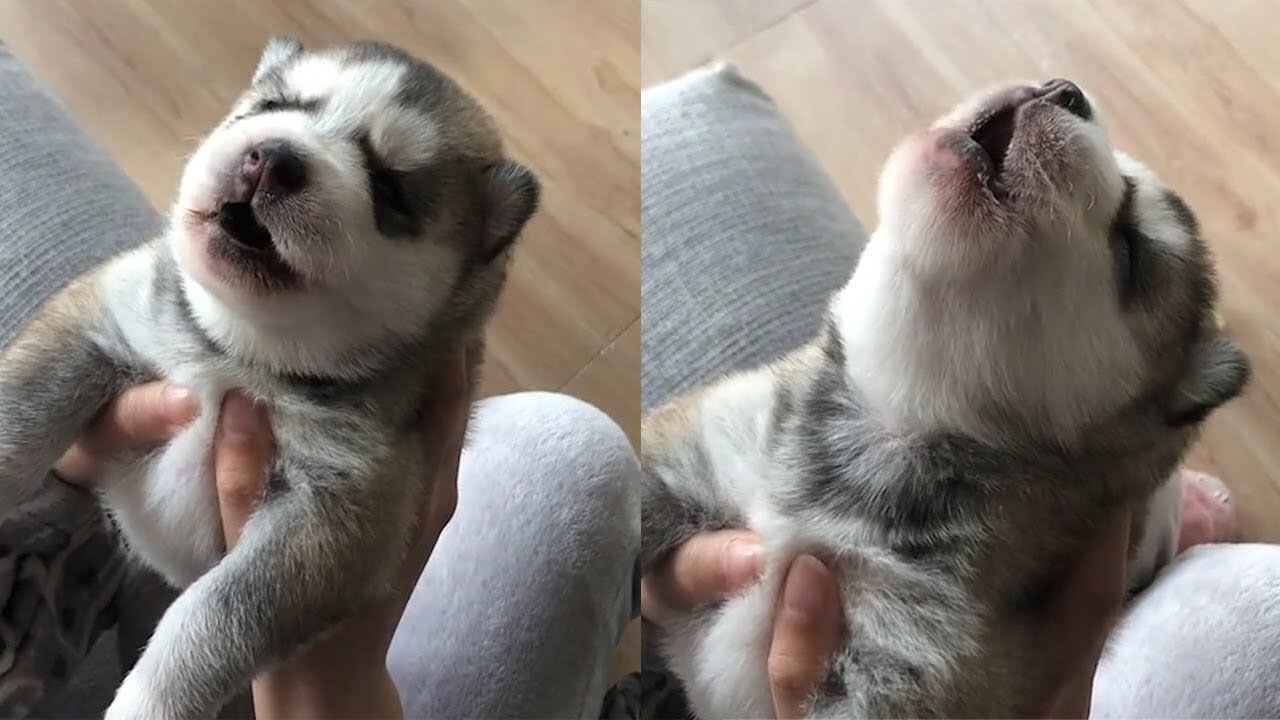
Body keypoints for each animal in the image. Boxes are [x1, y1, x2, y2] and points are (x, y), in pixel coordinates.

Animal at [0, 39, 535, 717]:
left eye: (389, 187)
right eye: (274, 105)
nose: (274, 157)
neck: (238, 356)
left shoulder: (337, 514)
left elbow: (212, 615)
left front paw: (150, 701)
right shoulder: (97, 322)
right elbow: (20, 417)